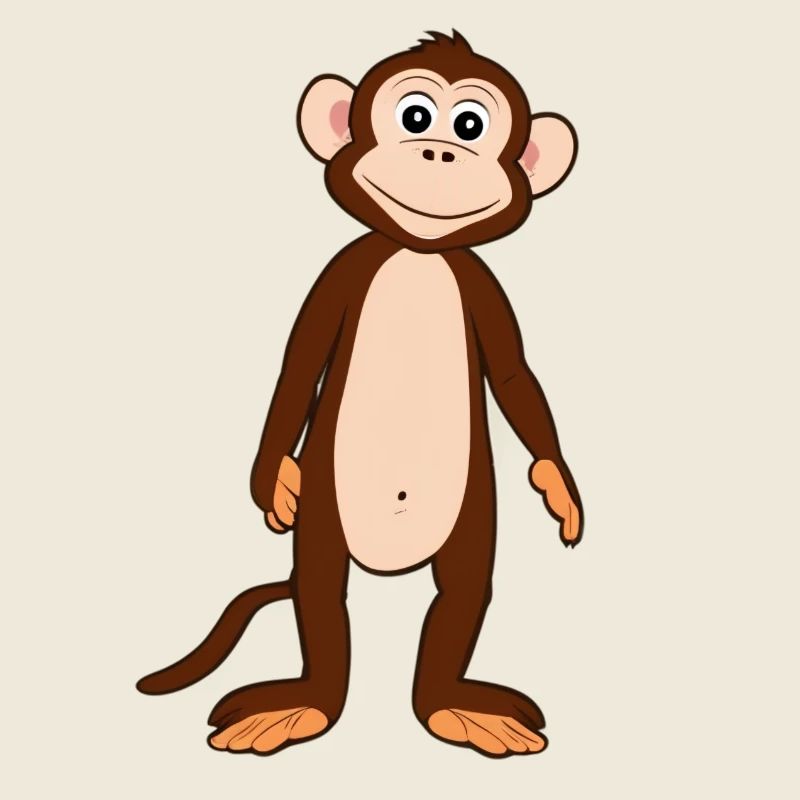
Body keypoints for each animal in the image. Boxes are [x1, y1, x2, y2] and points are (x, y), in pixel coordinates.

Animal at [137, 30, 584, 759]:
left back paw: (453, 708)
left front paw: (558, 488)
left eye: (471, 124)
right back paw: (302, 706)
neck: (416, 251)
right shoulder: (340, 275)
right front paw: (271, 482)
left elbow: (515, 375)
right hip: (328, 511)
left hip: (470, 516)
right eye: (415, 116)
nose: (440, 152)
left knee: (461, 592)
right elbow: (298, 364)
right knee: (321, 590)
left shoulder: (482, 287)